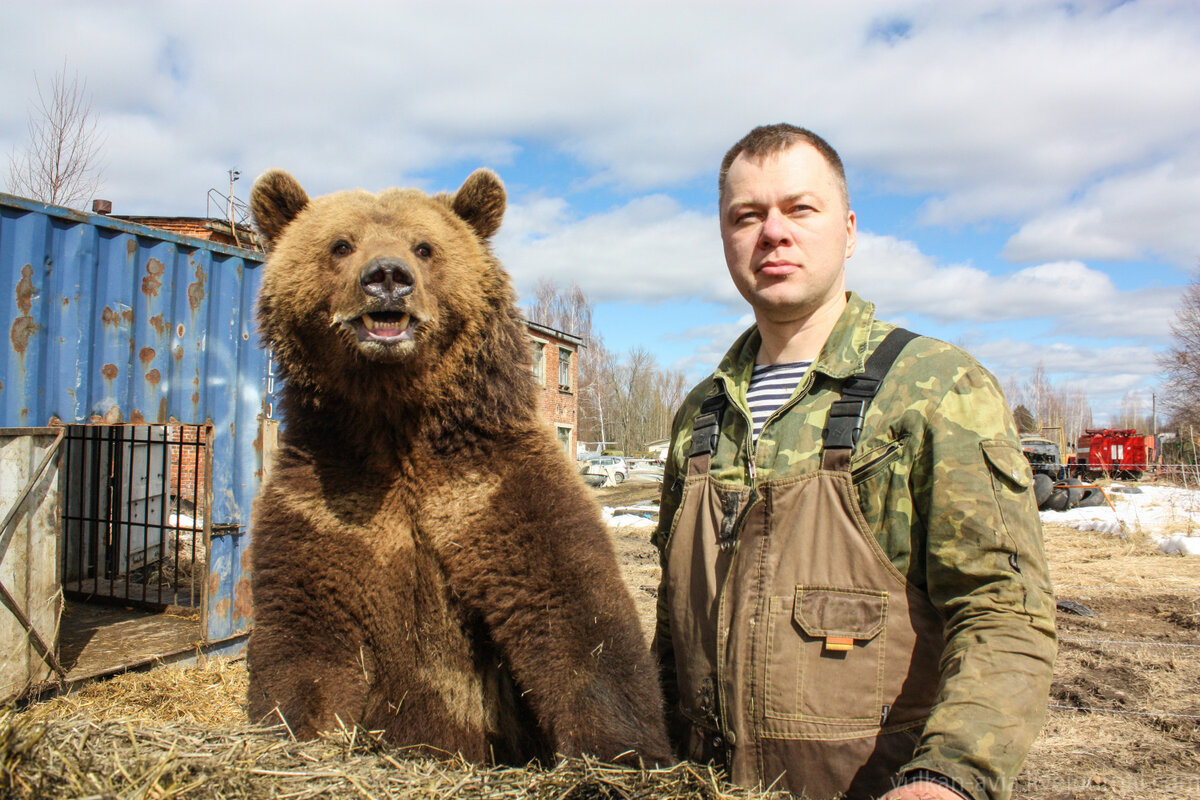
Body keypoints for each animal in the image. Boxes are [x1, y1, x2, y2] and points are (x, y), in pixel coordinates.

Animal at [247, 165, 672, 767]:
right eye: (340, 244)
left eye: (425, 247)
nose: (387, 277)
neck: (396, 422)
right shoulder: (325, 506)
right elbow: (305, 643)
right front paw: (298, 731)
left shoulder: (494, 491)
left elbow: (576, 620)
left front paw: (621, 751)